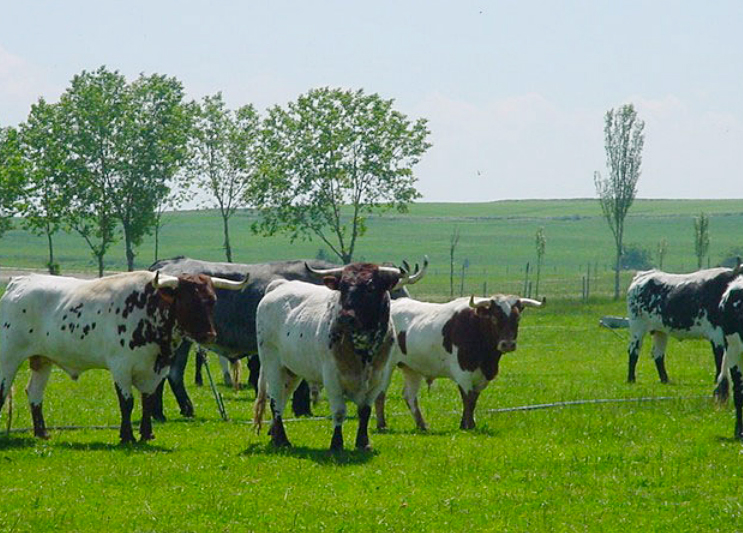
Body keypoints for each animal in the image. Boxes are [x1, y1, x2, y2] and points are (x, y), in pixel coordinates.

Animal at [0, 270, 250, 440]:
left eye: (212, 301)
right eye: (188, 301)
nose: (209, 335)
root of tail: (19, 281)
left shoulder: (156, 370)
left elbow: (148, 401)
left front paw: (147, 434)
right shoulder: (121, 367)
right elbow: (127, 402)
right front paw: (127, 436)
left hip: (42, 360)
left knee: (34, 393)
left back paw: (42, 433)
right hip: (8, 357)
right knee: (4, 391)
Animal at [374, 294, 544, 430]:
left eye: (517, 318)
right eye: (494, 318)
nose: (507, 344)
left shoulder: (482, 377)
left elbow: (473, 400)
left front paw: (466, 424)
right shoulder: (463, 372)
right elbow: (467, 399)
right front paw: (468, 425)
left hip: (412, 368)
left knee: (409, 396)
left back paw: (422, 425)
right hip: (386, 366)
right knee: (380, 393)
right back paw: (382, 425)